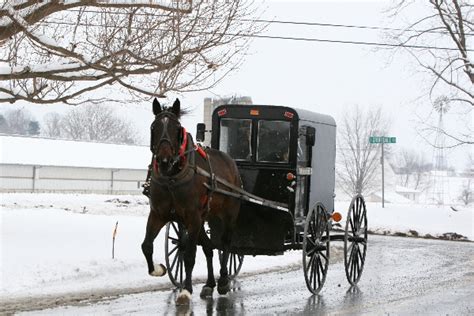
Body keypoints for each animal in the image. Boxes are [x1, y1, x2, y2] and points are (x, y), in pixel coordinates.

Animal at [141, 97, 241, 304]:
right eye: (154, 127)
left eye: (177, 128)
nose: (163, 160)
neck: (172, 178)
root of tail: (231, 161)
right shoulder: (158, 214)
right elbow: (146, 245)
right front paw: (158, 269)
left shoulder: (192, 217)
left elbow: (189, 254)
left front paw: (186, 290)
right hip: (204, 217)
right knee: (209, 247)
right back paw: (210, 284)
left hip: (228, 213)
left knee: (226, 244)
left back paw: (223, 280)